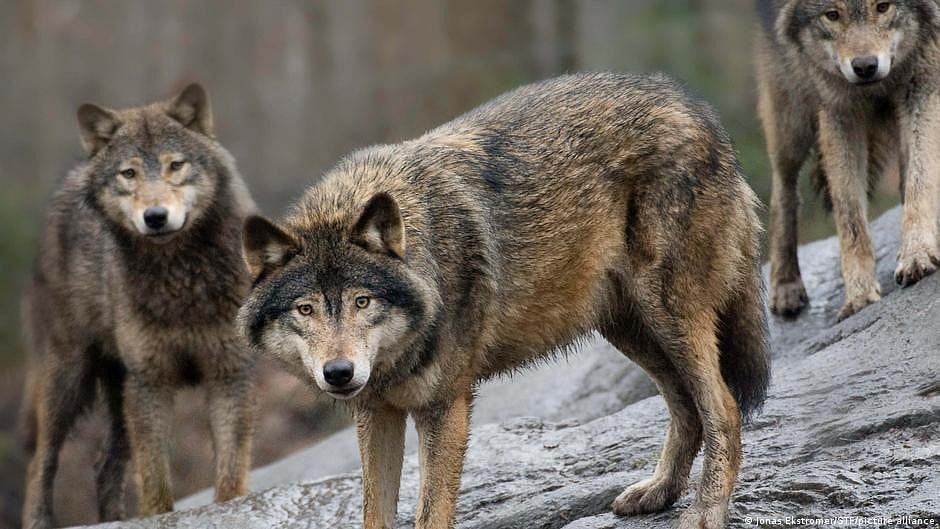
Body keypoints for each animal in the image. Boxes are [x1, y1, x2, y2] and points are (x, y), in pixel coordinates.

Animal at [20, 84, 258, 529]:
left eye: (175, 166)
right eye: (128, 174)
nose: (155, 216)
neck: (180, 279)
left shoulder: (230, 373)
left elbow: (230, 471)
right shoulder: (151, 382)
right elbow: (155, 479)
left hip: (117, 391)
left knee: (104, 465)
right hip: (68, 379)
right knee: (40, 463)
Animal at [239, 72, 771, 529]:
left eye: (362, 302)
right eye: (305, 309)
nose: (338, 373)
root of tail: (696, 107)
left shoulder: (445, 409)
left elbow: (431, 512)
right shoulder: (377, 412)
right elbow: (375, 512)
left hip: (669, 312)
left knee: (723, 409)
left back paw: (704, 513)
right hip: (627, 327)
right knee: (686, 407)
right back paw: (659, 491)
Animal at [757, 0, 940, 320]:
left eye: (883, 6)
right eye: (832, 15)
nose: (865, 67)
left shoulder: (922, 80)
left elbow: (921, 177)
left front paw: (916, 254)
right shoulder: (837, 108)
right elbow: (849, 214)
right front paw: (859, 295)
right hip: (791, 115)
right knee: (782, 190)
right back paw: (785, 285)